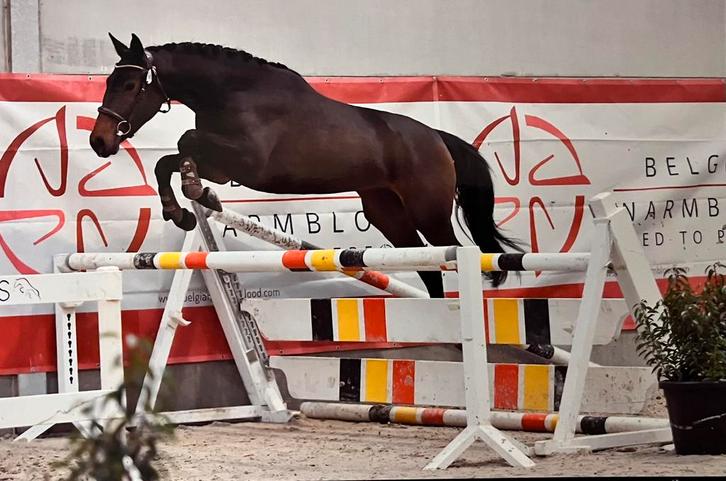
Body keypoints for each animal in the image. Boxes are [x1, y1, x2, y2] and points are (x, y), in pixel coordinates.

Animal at [89, 33, 520, 298]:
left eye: (129, 86)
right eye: (109, 82)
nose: (99, 141)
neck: (232, 93)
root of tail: (437, 137)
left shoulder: (245, 161)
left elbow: (182, 143)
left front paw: (193, 195)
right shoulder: (225, 166)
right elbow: (168, 161)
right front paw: (184, 207)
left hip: (428, 211)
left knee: (453, 253)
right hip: (387, 212)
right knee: (426, 265)